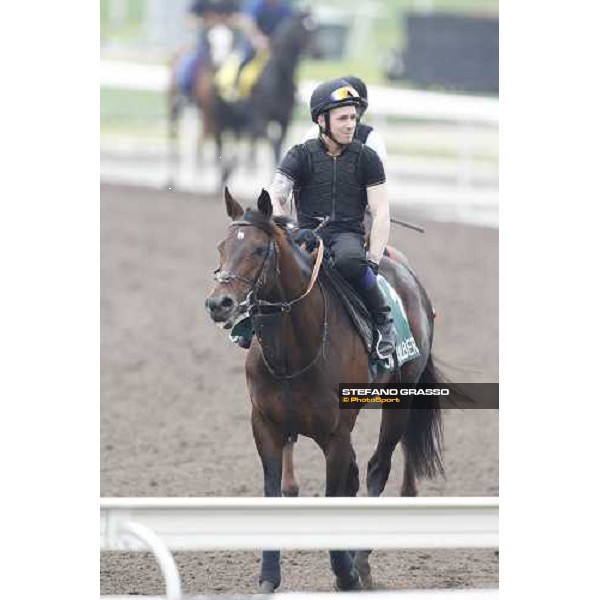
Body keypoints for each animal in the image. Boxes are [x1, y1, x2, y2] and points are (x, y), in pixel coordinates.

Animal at [206, 190, 446, 592]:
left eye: (258, 249)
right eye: (222, 247)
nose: (218, 303)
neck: (294, 350)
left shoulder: (335, 434)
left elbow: (337, 488)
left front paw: (346, 574)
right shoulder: (266, 426)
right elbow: (277, 490)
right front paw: (269, 577)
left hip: (400, 400)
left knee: (377, 468)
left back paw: (361, 562)